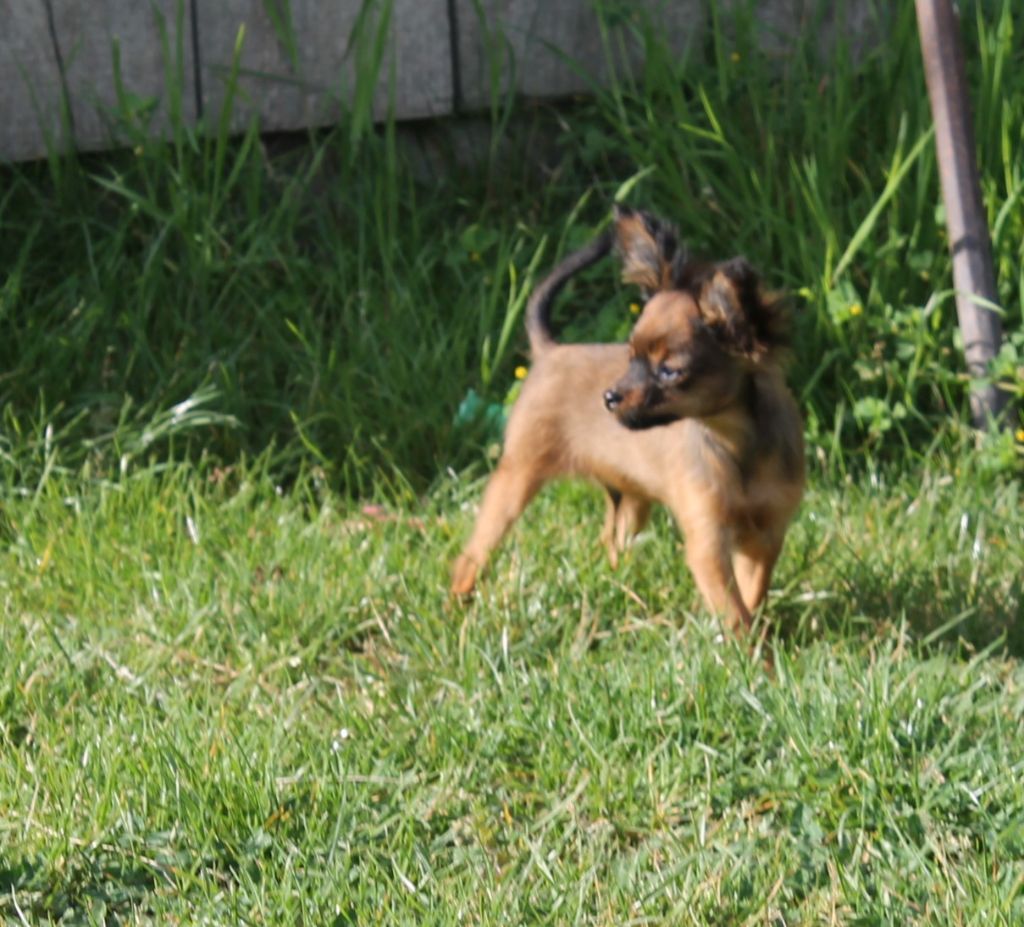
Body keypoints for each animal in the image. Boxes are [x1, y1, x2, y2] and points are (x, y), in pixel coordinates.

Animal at [451, 205, 804, 636]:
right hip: (515, 479)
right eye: (631, 356)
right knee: (471, 556)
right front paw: (750, 650)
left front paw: (755, 640)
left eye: (669, 372)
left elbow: (750, 596)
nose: (609, 397)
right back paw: (455, 608)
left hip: (629, 501)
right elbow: (734, 610)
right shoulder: (707, 541)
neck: (736, 444)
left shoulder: (766, 536)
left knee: (609, 541)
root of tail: (550, 350)